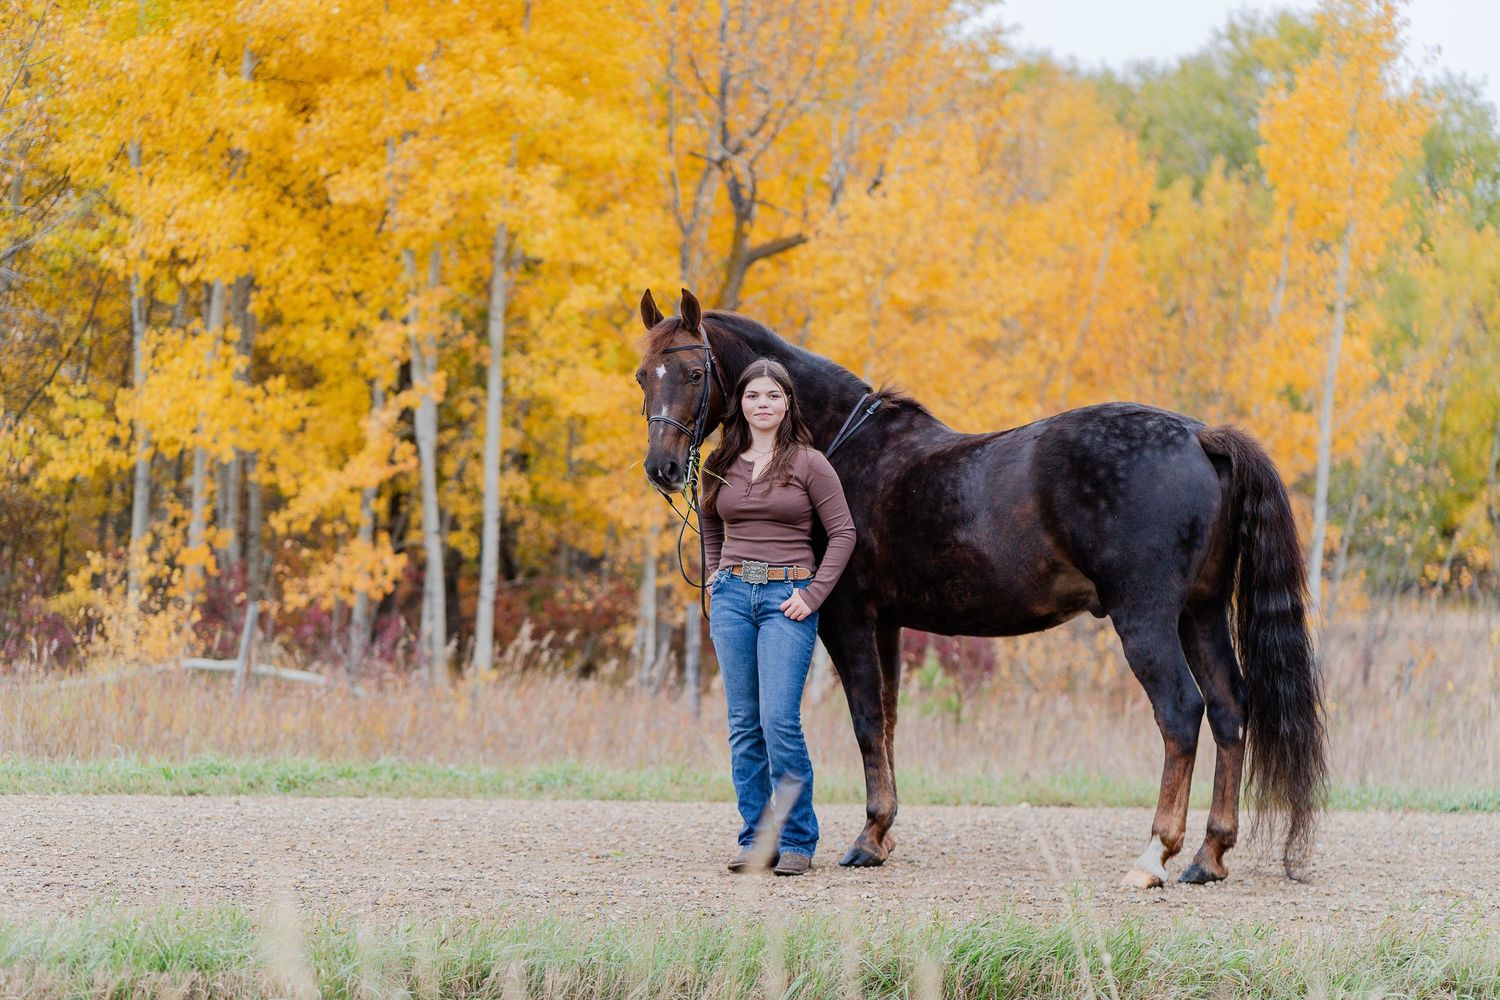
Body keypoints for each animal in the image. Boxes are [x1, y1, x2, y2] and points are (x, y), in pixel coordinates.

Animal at [634, 288, 1326, 886]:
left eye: (692, 373)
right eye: (643, 375)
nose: (662, 469)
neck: (839, 445)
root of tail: (1199, 437)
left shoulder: (844, 616)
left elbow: (865, 719)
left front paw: (866, 841)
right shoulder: (887, 623)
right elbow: (888, 717)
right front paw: (882, 834)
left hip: (1147, 619)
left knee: (1181, 713)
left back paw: (1154, 855)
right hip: (1200, 613)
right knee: (1230, 708)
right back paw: (1210, 855)